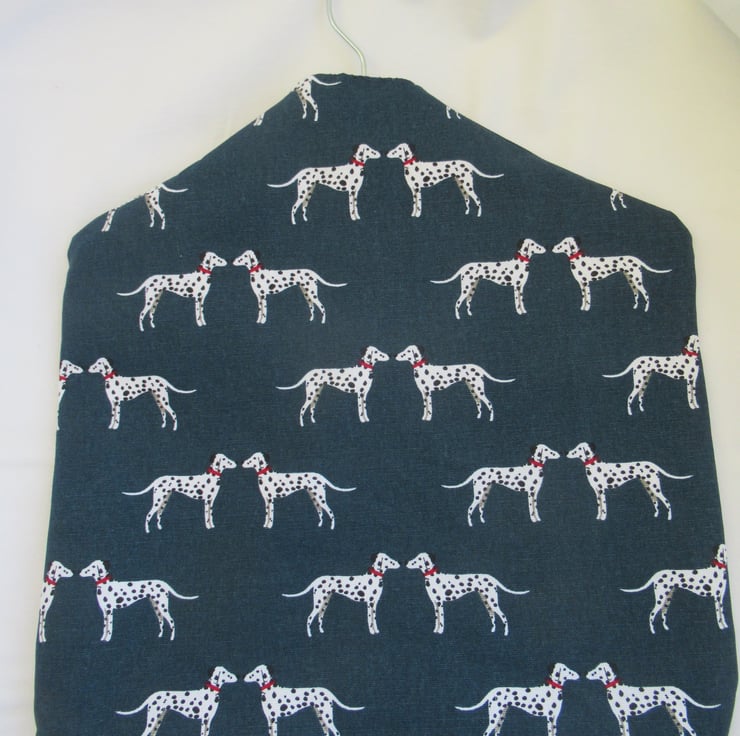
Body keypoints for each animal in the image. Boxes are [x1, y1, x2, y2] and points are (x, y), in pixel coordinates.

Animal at [587, 662, 720, 736]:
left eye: (598, 669)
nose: (587, 673)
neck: (615, 688)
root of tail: (679, 690)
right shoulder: (619, 719)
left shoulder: (624, 718)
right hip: (674, 716)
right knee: (682, 731)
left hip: (680, 715)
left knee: (692, 731)